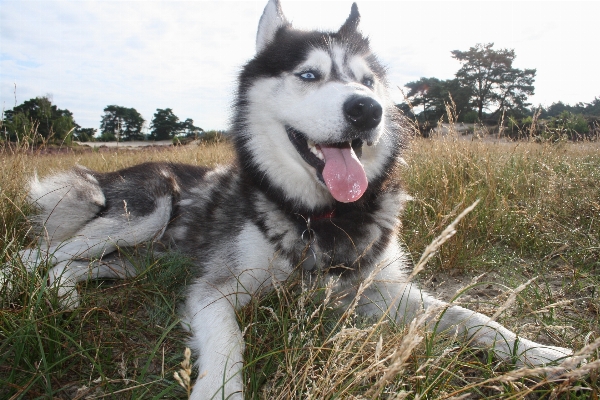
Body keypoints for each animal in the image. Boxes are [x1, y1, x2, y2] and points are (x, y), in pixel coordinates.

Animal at [16, 1, 572, 398]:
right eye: (309, 75)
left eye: (367, 82)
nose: (367, 110)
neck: (322, 213)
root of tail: (111, 170)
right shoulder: (214, 290)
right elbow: (229, 342)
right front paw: (220, 389)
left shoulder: (376, 289)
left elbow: (470, 317)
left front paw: (544, 353)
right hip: (147, 211)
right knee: (32, 255)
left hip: (136, 260)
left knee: (73, 265)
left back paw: (65, 295)